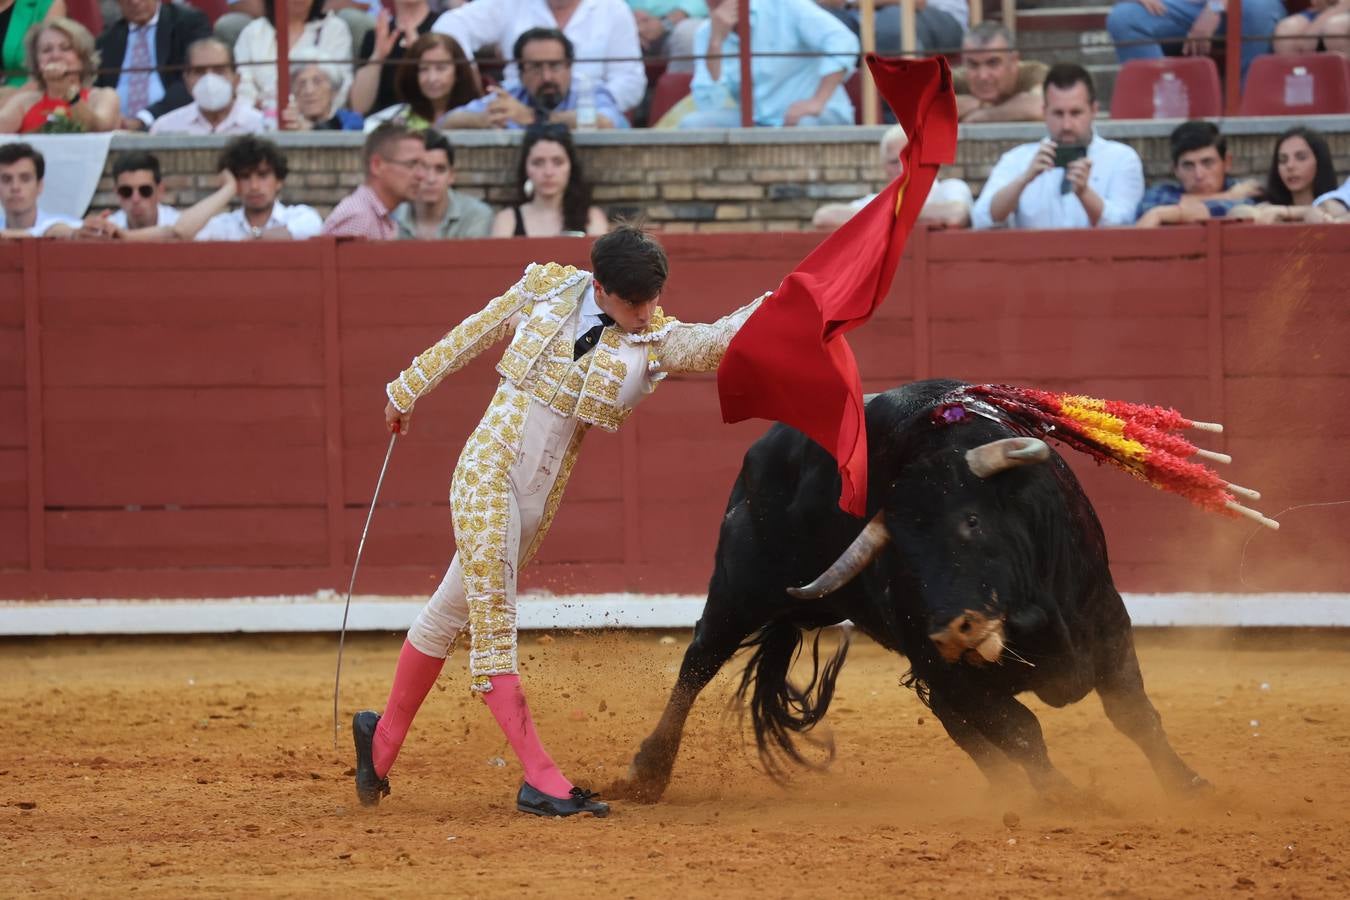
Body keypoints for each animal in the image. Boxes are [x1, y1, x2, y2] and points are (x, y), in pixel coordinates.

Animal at [607, 380, 1209, 804]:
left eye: (972, 522)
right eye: (903, 556)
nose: (954, 630)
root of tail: (757, 457)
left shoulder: (1106, 618)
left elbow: (1134, 714)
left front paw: (1188, 785)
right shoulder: (942, 666)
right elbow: (1022, 730)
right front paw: (1066, 796)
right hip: (738, 590)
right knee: (698, 662)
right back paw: (646, 772)